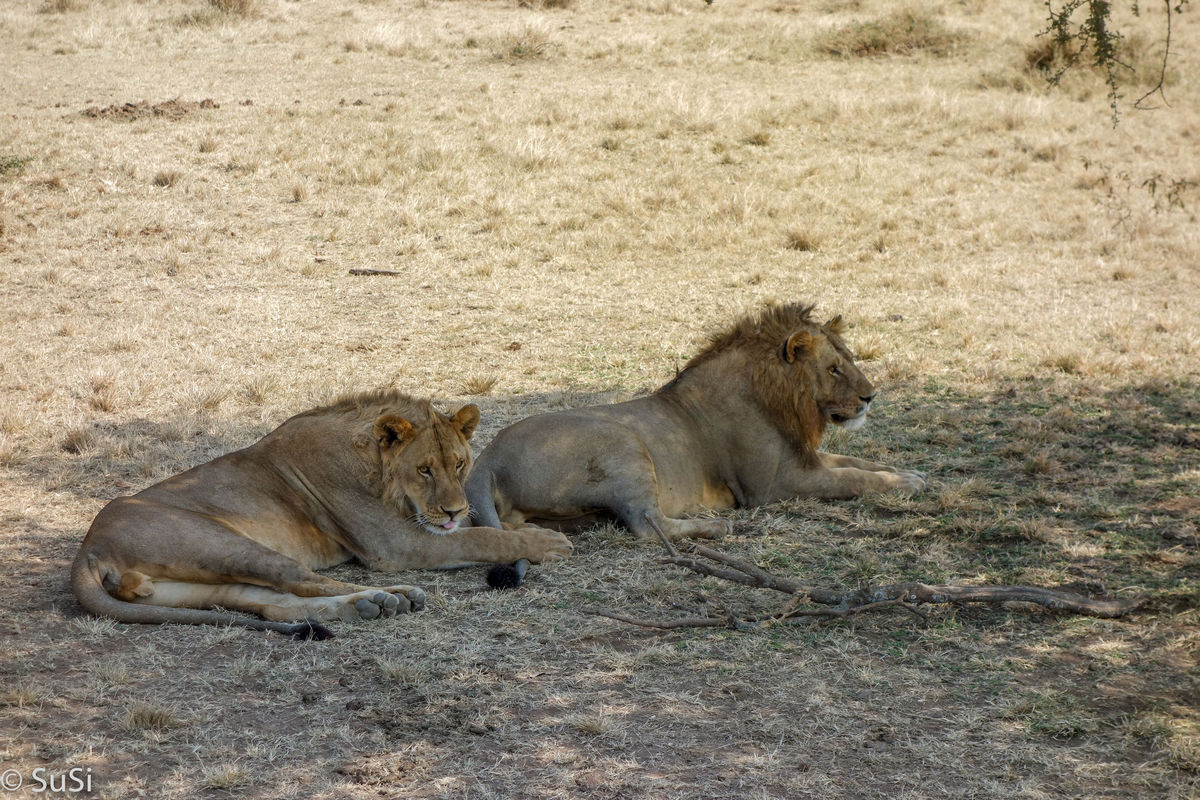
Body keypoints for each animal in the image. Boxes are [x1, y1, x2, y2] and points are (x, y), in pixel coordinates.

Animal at [72, 388, 573, 638]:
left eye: (459, 464)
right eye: (424, 469)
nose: (452, 509)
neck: (375, 465)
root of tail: (87, 551)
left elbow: (477, 527)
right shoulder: (395, 545)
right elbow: (478, 537)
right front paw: (543, 540)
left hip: (190, 585)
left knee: (272, 601)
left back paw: (369, 607)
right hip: (220, 541)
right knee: (304, 580)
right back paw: (394, 597)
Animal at [468, 302, 926, 544]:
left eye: (850, 360)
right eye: (833, 369)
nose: (871, 397)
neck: (777, 398)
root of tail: (487, 459)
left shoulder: (803, 457)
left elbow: (860, 464)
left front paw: (910, 474)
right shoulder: (775, 486)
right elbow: (852, 479)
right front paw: (904, 484)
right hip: (624, 443)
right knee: (647, 525)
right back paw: (715, 525)